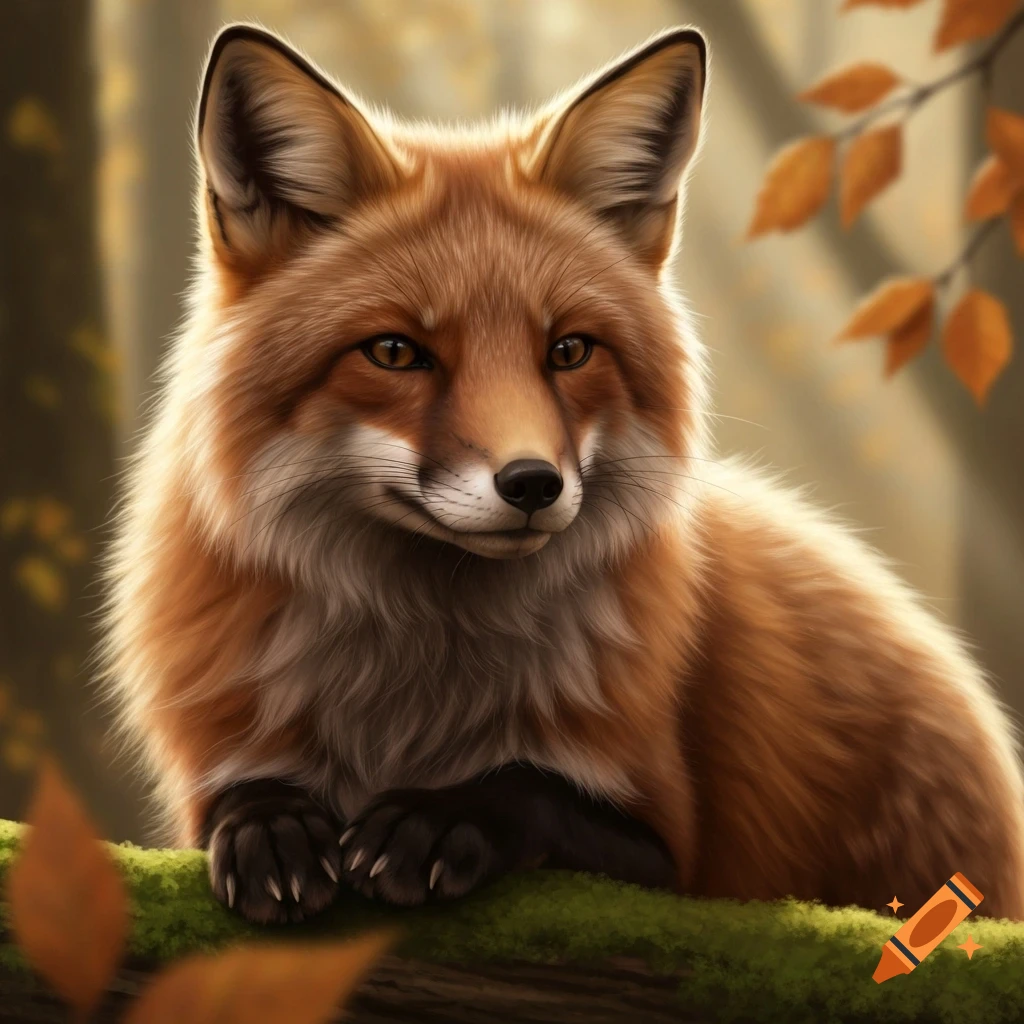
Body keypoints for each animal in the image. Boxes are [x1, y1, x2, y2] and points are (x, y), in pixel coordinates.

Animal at [102, 22, 1024, 926]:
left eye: (569, 350)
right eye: (395, 352)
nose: (532, 485)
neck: (414, 686)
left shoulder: (677, 853)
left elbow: (527, 787)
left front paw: (437, 820)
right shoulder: (213, 764)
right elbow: (242, 796)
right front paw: (275, 828)